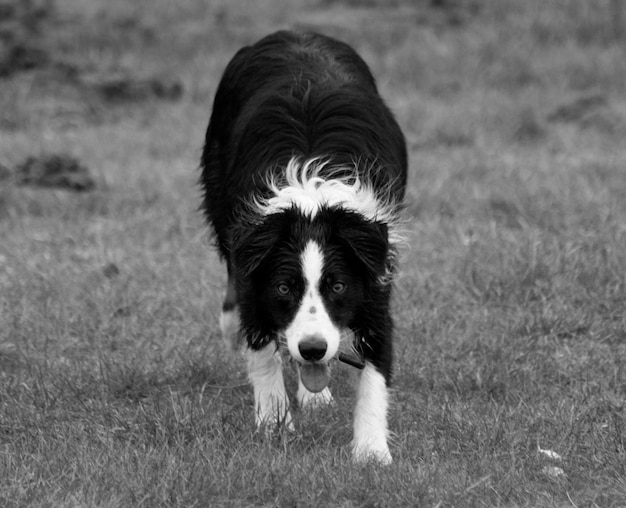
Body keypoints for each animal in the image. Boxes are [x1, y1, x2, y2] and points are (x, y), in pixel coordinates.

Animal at [197, 29, 408, 462]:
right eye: (283, 287)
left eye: (338, 286)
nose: (312, 349)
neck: (312, 201)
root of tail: (294, 32)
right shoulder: (253, 264)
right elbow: (261, 347)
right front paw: (274, 426)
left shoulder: (375, 271)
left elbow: (377, 366)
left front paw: (371, 451)